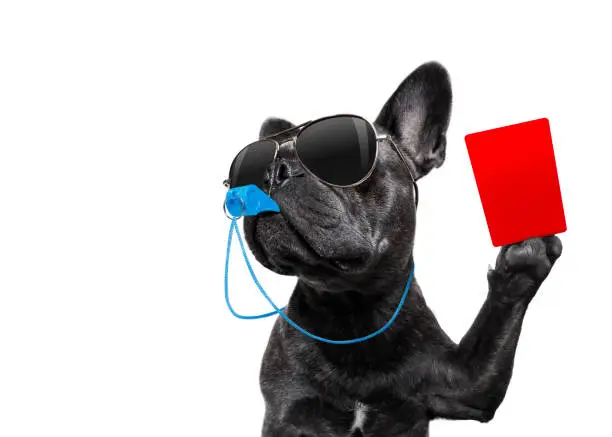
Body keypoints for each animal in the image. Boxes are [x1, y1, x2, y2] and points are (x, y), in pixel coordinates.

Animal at [241, 62, 560, 436]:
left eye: (339, 160)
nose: (270, 172)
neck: (353, 306)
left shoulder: (465, 384)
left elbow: (495, 324)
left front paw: (526, 252)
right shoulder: (287, 412)